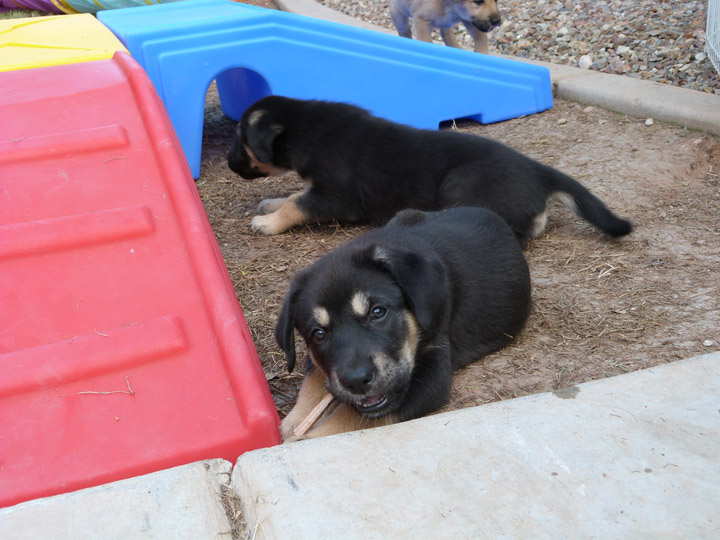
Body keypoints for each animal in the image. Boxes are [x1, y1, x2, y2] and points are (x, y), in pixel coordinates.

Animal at [228, 96, 632, 248]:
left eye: (239, 139)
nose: (230, 163)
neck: (306, 126)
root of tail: (539, 170)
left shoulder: (335, 198)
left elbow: (297, 202)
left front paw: (269, 222)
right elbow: (294, 194)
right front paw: (269, 205)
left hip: (459, 183)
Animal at [272, 205, 528, 440]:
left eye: (377, 312)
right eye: (318, 334)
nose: (356, 381)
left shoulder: (432, 373)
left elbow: (349, 417)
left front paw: (301, 437)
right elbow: (312, 379)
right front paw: (293, 423)